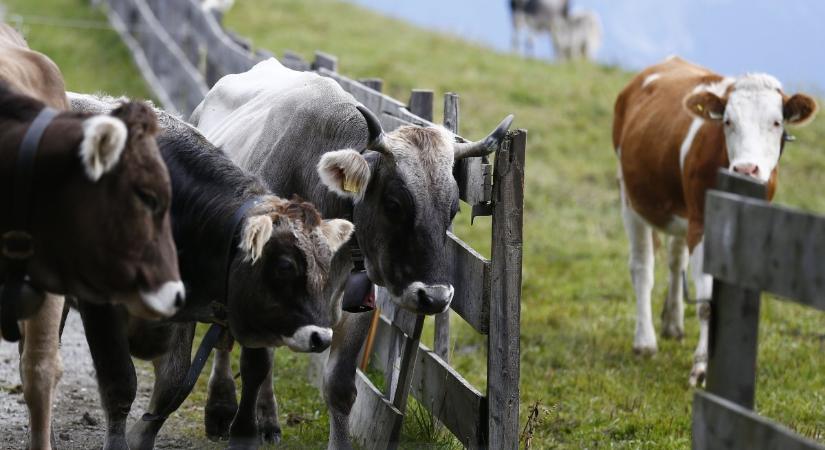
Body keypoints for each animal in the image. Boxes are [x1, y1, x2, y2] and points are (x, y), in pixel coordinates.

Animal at [71, 92, 354, 450]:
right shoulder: (100, 307)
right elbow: (120, 385)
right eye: (285, 266)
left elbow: (172, 385)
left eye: (326, 266)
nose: (322, 336)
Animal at [192, 58, 516, 448]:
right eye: (394, 205)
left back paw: (267, 419)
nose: (435, 297)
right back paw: (221, 408)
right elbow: (254, 365)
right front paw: (241, 429)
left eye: (452, 209)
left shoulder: (356, 303)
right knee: (226, 336)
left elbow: (340, 387)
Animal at [612, 55, 816, 386]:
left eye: (776, 122)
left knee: (675, 260)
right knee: (642, 267)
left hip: (681, 212)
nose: (746, 169)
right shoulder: (703, 224)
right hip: (629, 196)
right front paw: (702, 367)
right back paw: (645, 342)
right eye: (728, 121)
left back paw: (673, 323)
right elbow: (707, 302)